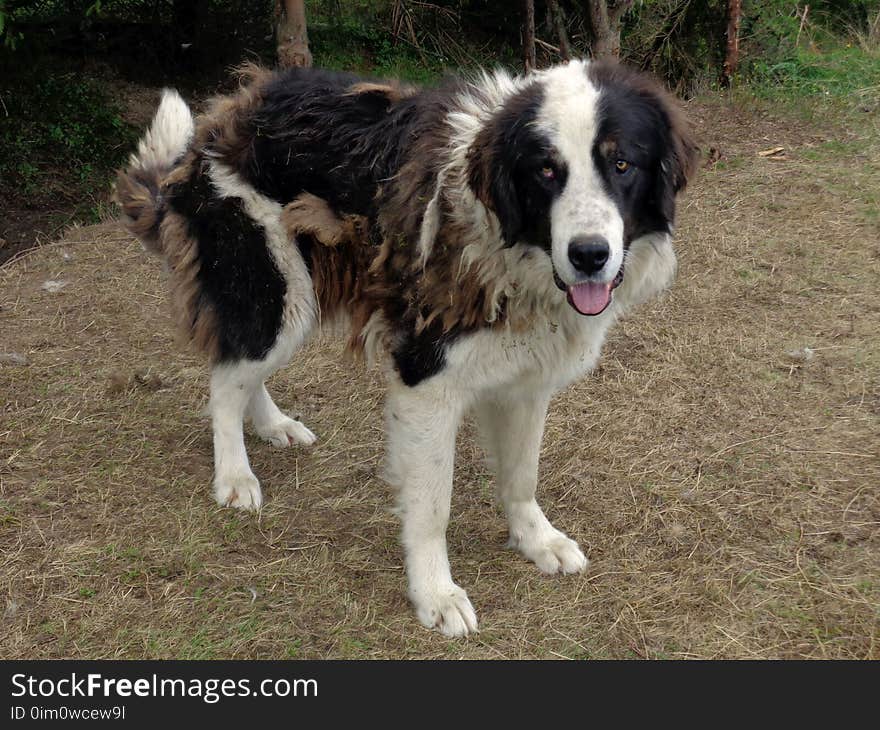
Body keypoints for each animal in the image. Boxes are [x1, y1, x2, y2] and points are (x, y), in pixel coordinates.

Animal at [115, 59, 696, 636]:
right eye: (547, 172)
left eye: (621, 164)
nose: (589, 255)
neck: (505, 243)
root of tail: (219, 119)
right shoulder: (426, 380)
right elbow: (432, 505)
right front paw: (436, 593)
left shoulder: (527, 382)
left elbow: (522, 475)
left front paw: (535, 541)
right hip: (275, 294)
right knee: (225, 381)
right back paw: (235, 475)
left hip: (294, 302)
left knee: (243, 372)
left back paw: (273, 425)